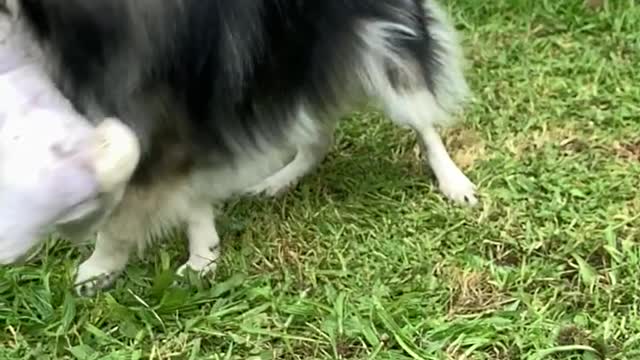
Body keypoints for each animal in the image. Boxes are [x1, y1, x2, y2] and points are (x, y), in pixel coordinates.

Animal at [3, 0, 476, 294]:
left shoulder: (156, 120)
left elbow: (122, 220)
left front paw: (101, 266)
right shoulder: (185, 123)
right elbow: (190, 196)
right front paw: (204, 257)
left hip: (379, 48)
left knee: (422, 119)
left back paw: (453, 181)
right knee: (318, 135)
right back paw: (279, 180)